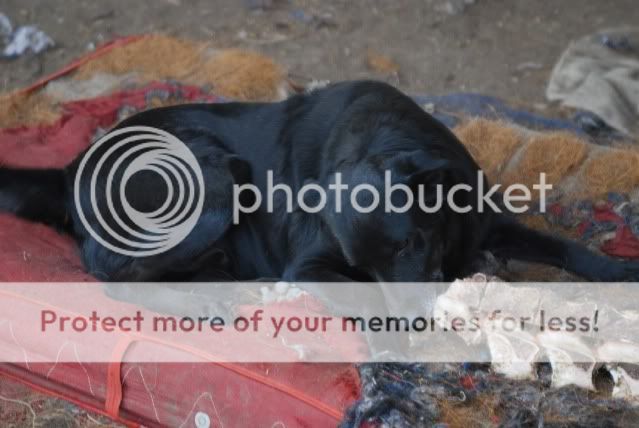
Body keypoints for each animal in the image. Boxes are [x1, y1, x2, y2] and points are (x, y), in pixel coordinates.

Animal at [1, 80, 639, 290]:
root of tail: (70, 167)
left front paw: (619, 270)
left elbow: (568, 247)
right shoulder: (310, 264)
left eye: (412, 243)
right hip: (212, 179)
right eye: (368, 266)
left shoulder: (485, 217)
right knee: (113, 273)